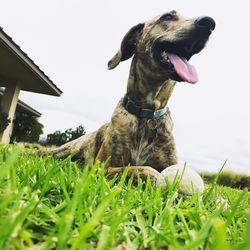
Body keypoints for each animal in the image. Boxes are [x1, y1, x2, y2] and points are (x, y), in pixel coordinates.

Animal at [45, 10, 217, 182]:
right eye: (167, 16)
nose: (209, 22)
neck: (148, 113)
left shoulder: (169, 161)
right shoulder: (101, 168)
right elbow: (138, 169)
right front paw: (156, 177)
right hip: (64, 150)